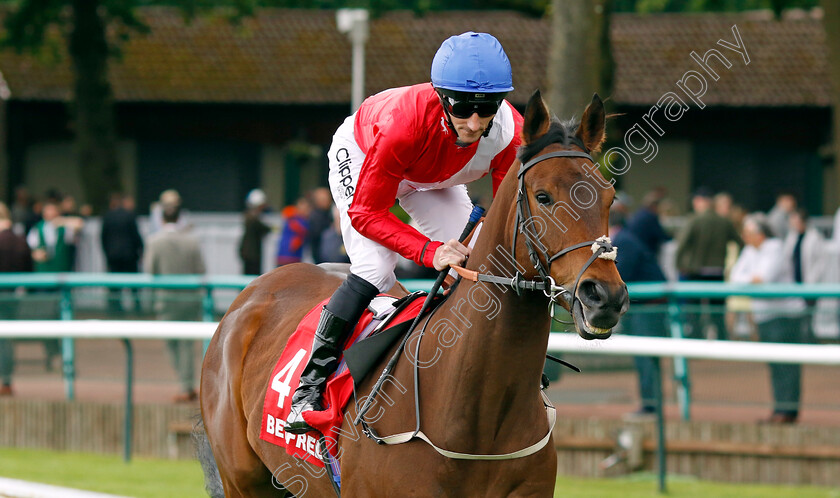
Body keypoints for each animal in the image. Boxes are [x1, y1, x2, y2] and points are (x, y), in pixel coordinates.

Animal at [200, 91, 628, 496]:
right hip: (243, 480)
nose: (604, 297)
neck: (477, 415)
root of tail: (254, 292)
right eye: (543, 196)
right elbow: (366, 211)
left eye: (609, 197)